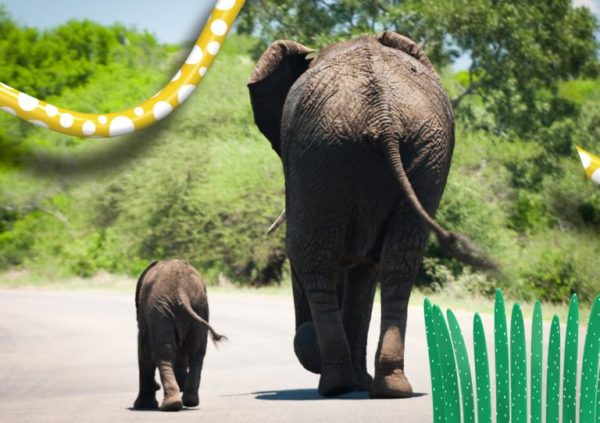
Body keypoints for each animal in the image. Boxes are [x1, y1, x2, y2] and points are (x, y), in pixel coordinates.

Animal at [134, 260, 225, 412]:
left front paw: (142, 405)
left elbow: (144, 349)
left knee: (163, 352)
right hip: (199, 306)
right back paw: (189, 401)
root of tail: (181, 291)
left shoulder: (145, 317)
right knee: (197, 352)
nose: (156, 386)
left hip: (162, 310)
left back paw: (171, 405)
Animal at [246, 31, 494, 400]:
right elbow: (365, 267)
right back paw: (389, 387)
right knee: (400, 260)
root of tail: (384, 117)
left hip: (324, 150)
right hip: (421, 150)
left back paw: (336, 385)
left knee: (312, 254)